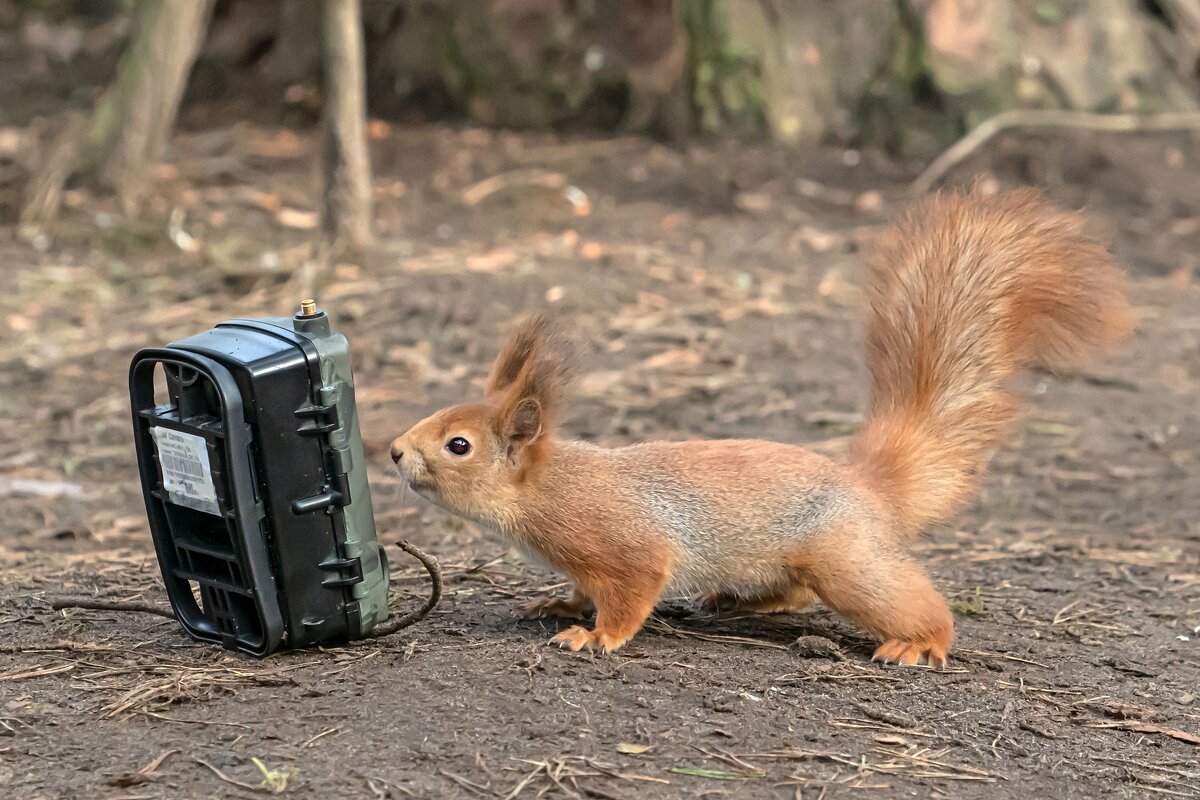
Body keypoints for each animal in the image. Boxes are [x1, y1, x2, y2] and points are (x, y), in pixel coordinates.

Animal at [391, 184, 1132, 666]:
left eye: (458, 445)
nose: (396, 452)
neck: (547, 488)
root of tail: (867, 487)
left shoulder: (624, 544)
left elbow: (632, 593)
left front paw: (595, 636)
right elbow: (580, 589)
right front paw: (560, 605)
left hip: (845, 559)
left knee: (902, 598)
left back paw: (920, 643)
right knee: (793, 595)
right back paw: (738, 604)